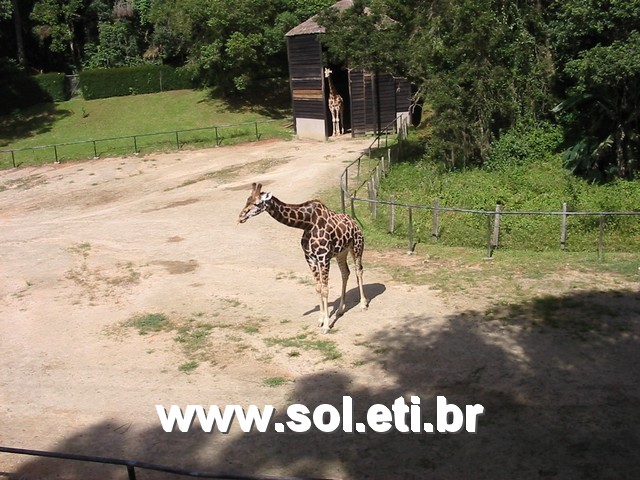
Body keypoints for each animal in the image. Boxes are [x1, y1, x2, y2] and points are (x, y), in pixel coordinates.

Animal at [238, 182, 368, 332]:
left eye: (257, 203)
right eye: (247, 200)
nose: (241, 216)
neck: (306, 223)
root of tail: (355, 223)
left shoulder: (323, 257)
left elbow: (325, 289)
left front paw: (326, 326)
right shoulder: (310, 258)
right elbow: (318, 287)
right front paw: (321, 320)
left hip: (357, 247)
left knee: (359, 270)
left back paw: (363, 305)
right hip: (341, 252)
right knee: (345, 273)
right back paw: (340, 309)